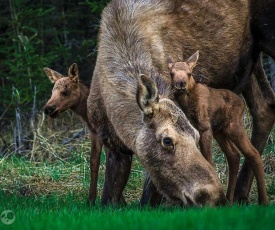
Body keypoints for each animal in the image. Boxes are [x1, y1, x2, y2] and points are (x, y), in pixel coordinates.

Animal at [168, 51, 270, 204]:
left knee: (253, 153)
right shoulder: (196, 130)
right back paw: (228, 199)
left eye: (189, 73)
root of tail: (242, 104)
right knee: (234, 155)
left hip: (234, 127)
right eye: (172, 73)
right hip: (220, 132)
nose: (181, 84)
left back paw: (263, 200)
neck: (188, 103)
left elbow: (208, 160)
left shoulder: (205, 128)